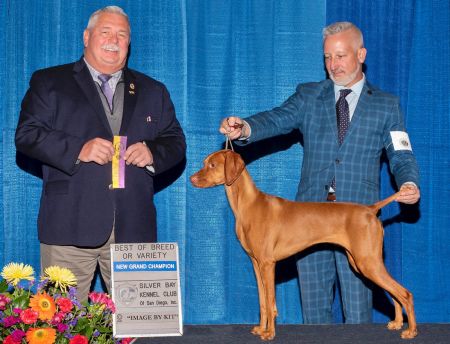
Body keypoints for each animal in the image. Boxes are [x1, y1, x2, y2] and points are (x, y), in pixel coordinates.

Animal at [190, 150, 418, 342]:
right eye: (204, 163)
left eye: (212, 165)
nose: (191, 178)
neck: (248, 205)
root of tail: (370, 209)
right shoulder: (256, 264)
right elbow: (263, 301)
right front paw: (261, 328)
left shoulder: (267, 264)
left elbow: (270, 300)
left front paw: (269, 333)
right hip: (363, 263)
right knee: (395, 293)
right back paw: (398, 323)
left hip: (367, 262)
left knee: (405, 293)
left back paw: (411, 330)